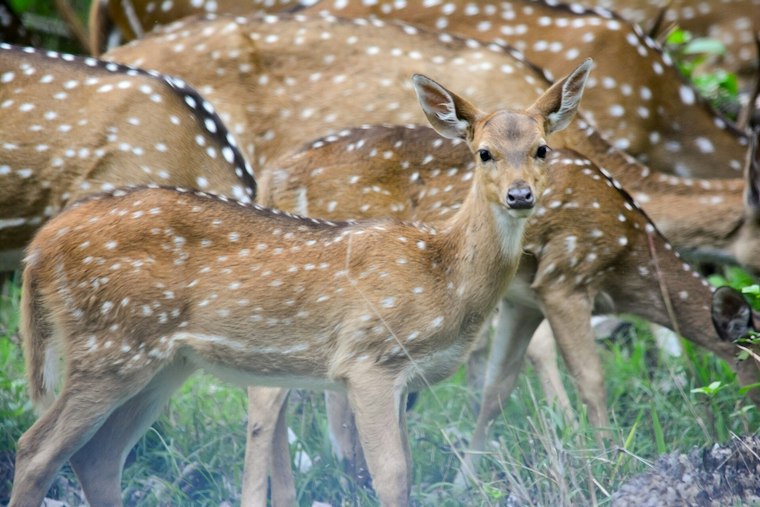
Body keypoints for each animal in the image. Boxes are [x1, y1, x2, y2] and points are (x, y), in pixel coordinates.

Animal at [8, 61, 592, 506]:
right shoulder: (369, 360)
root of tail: (40, 247)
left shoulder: (402, 378)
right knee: (37, 449)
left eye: (542, 148)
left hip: (162, 362)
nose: (520, 195)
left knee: (99, 456)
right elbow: (392, 476)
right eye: (483, 152)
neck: (441, 276)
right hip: (109, 345)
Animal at [241, 122, 760, 499]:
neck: (626, 252)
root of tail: (272, 178)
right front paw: (608, 463)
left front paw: (464, 482)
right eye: (755, 369)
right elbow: (592, 380)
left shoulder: (522, 303)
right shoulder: (566, 278)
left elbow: (496, 389)